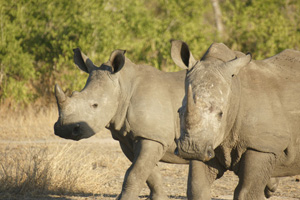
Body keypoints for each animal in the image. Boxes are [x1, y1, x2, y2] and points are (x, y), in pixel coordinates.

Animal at [52, 48, 205, 200]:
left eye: (95, 105)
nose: (64, 129)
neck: (123, 87)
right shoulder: (128, 138)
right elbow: (149, 173)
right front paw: (160, 198)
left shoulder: (153, 136)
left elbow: (135, 172)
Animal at [171, 39, 300, 199]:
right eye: (179, 111)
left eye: (220, 114)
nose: (190, 149)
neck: (234, 90)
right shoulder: (207, 143)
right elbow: (197, 188)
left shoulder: (262, 146)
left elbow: (247, 192)